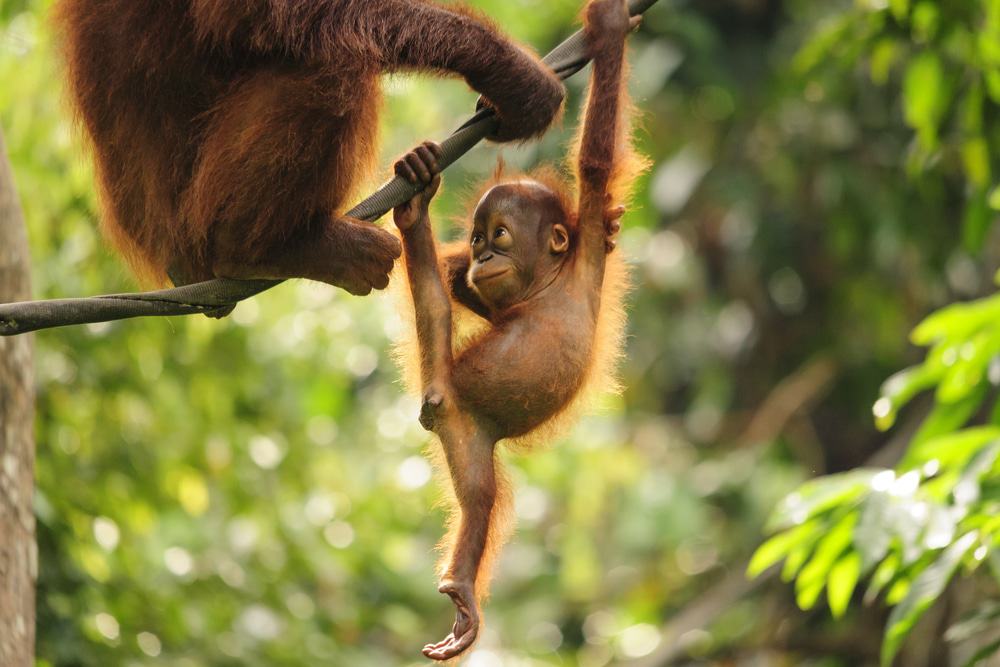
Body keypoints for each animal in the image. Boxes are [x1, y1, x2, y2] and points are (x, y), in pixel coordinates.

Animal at [391, 0, 646, 659]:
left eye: (498, 236)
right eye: (479, 238)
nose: (482, 255)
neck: (551, 284)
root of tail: (445, 400)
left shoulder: (583, 254)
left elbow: (594, 170)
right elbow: (595, 162)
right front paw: (609, 30)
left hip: (465, 437)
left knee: (480, 501)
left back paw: (461, 592)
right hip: (454, 409)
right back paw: (412, 213)